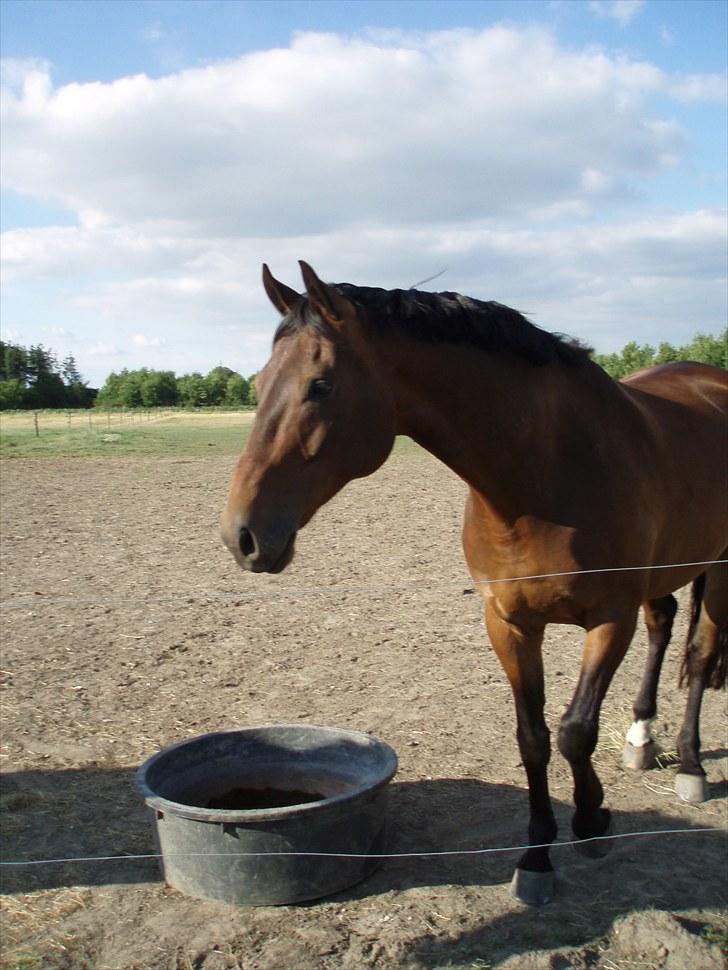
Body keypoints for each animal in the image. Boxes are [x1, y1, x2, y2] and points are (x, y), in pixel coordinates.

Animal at [222, 260, 728, 904]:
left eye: (321, 386)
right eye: (260, 386)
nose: (241, 534)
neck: (546, 472)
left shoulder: (608, 619)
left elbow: (575, 731)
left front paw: (592, 821)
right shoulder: (508, 623)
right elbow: (533, 738)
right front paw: (537, 857)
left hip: (720, 569)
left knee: (701, 651)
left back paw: (690, 765)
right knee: (663, 626)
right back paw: (642, 739)